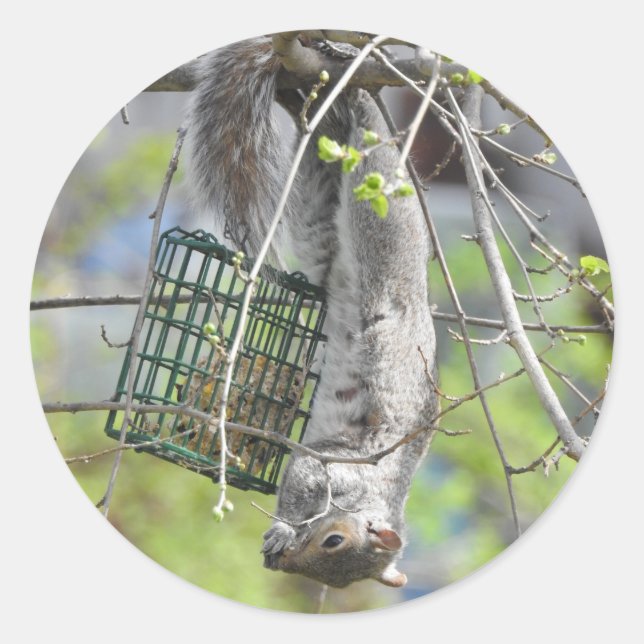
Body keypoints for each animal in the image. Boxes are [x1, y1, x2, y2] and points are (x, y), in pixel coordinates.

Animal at [184, 34, 438, 588]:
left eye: (334, 570)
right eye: (333, 540)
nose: (280, 565)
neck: (376, 495)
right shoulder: (335, 463)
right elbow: (299, 482)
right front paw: (282, 527)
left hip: (320, 221)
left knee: (324, 140)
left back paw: (300, 95)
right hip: (377, 220)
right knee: (364, 138)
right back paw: (341, 76)